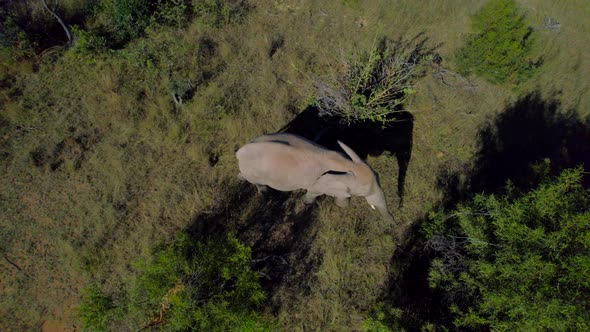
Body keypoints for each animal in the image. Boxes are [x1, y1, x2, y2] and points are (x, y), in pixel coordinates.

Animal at [237, 132, 398, 220]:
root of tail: (239, 152)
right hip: (254, 172)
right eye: (364, 193)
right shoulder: (321, 182)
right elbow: (314, 192)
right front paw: (306, 203)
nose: (394, 225)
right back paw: (264, 193)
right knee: (258, 183)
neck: (348, 165)